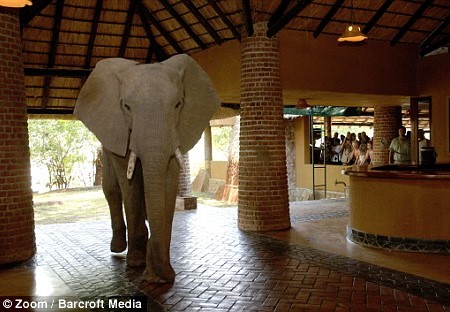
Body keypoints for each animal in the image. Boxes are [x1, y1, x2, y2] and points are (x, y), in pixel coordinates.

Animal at [74, 53, 221, 282]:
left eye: (178, 104)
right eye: (126, 106)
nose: (159, 275)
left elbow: (169, 176)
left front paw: (160, 274)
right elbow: (129, 181)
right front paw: (137, 263)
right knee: (111, 187)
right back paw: (118, 248)